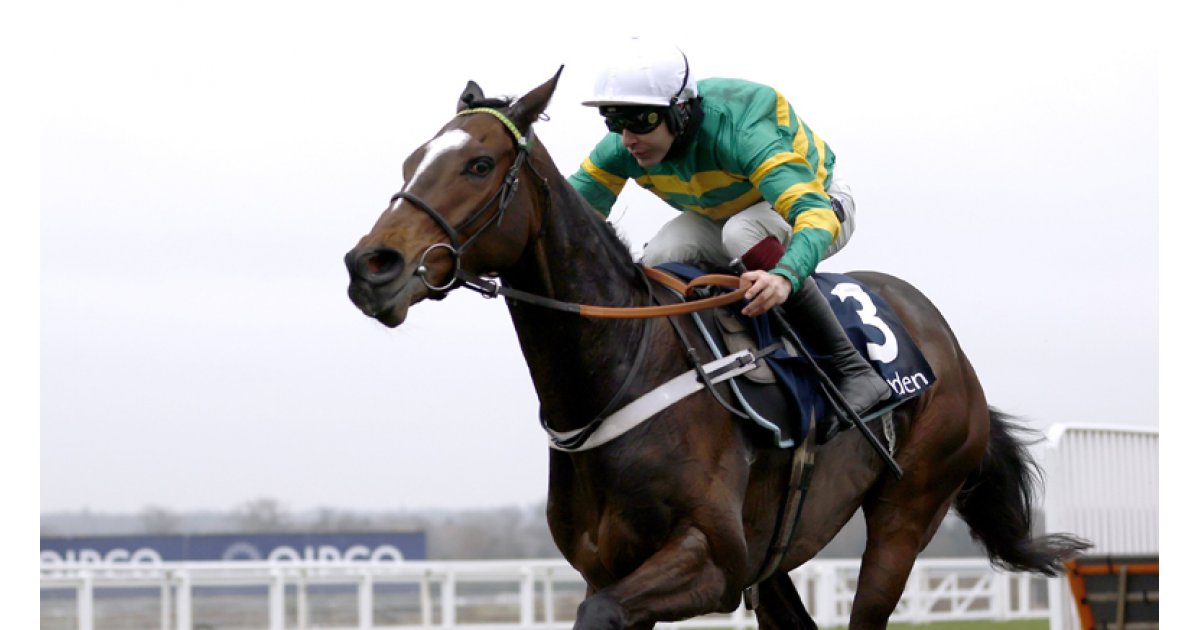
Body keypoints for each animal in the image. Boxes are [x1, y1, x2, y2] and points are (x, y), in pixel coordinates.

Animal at [344, 69, 1089, 629]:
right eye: (412, 161)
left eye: (478, 164)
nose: (370, 266)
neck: (620, 372)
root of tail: (945, 341)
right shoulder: (612, 566)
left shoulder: (712, 562)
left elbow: (601, 613)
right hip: (779, 555)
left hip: (908, 513)